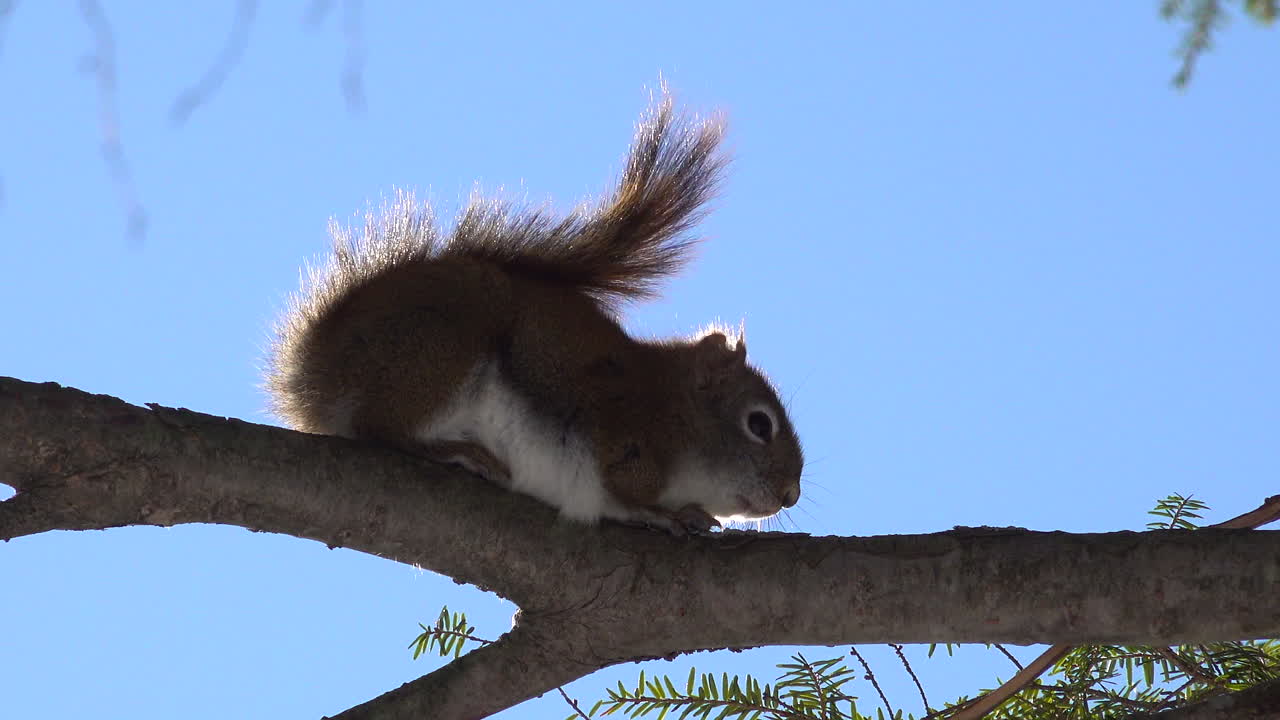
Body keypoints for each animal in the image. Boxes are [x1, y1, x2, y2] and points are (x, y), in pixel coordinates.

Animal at [265, 91, 803, 533]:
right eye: (760, 425)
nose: (791, 495)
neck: (674, 409)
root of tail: (316, 370)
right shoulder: (623, 438)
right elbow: (625, 493)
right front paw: (670, 514)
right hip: (438, 354)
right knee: (381, 426)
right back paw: (454, 451)